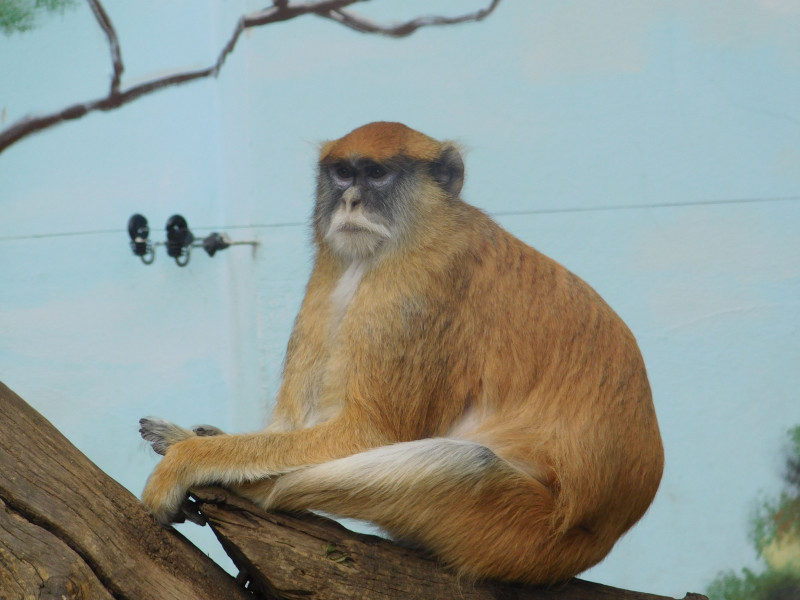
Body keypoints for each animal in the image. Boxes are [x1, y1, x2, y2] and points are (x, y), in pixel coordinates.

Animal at [140, 121, 664, 585]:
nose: (350, 200)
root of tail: (602, 535)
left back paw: (255, 488)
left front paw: (190, 457)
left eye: (375, 174)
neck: (415, 231)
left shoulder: (417, 290)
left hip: (522, 530)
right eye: (342, 173)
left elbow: (370, 432)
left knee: (466, 465)